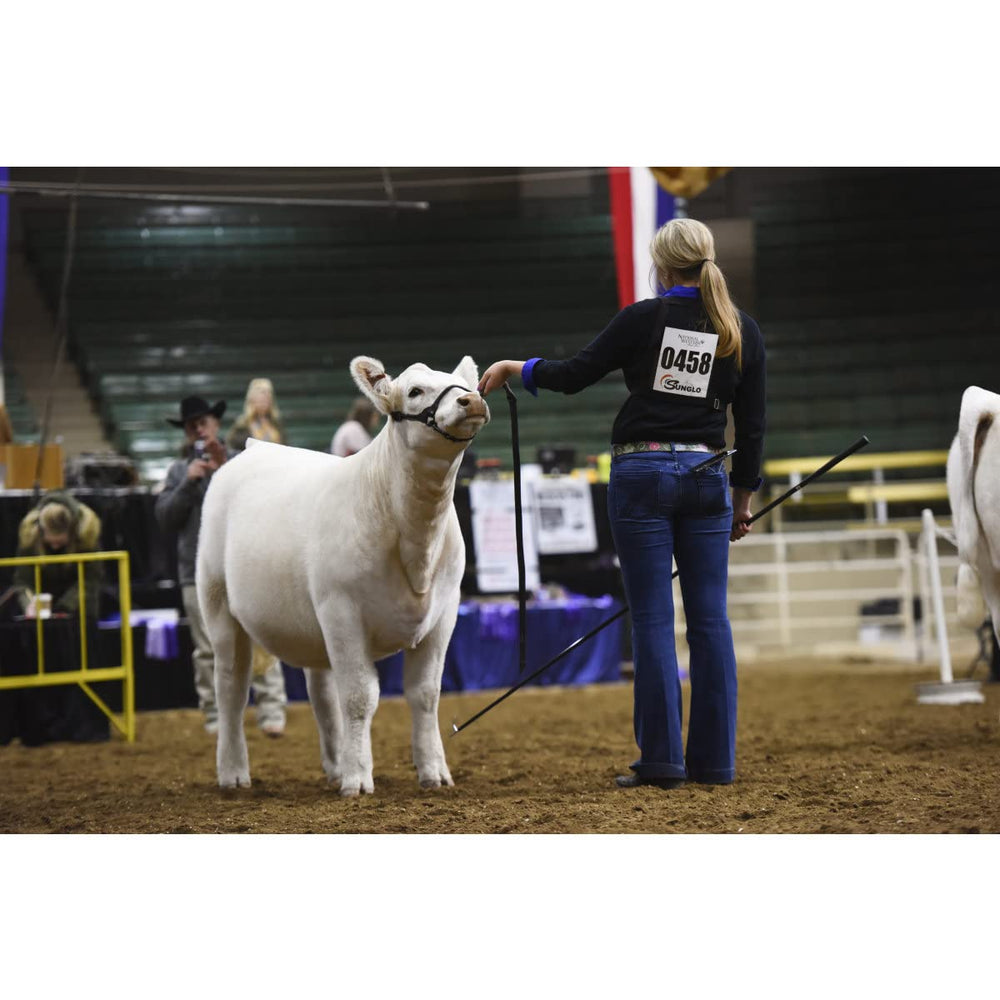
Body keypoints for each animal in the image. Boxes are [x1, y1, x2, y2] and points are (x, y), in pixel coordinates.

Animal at [195, 355, 489, 796]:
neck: (416, 542)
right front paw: (358, 779)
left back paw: (334, 764)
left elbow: (425, 694)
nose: (471, 401)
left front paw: (434, 772)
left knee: (320, 694)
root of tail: (255, 447)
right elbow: (359, 697)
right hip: (219, 605)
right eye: (415, 390)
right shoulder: (342, 611)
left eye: (464, 385)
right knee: (231, 687)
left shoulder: (444, 614)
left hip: (311, 625)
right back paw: (233, 773)